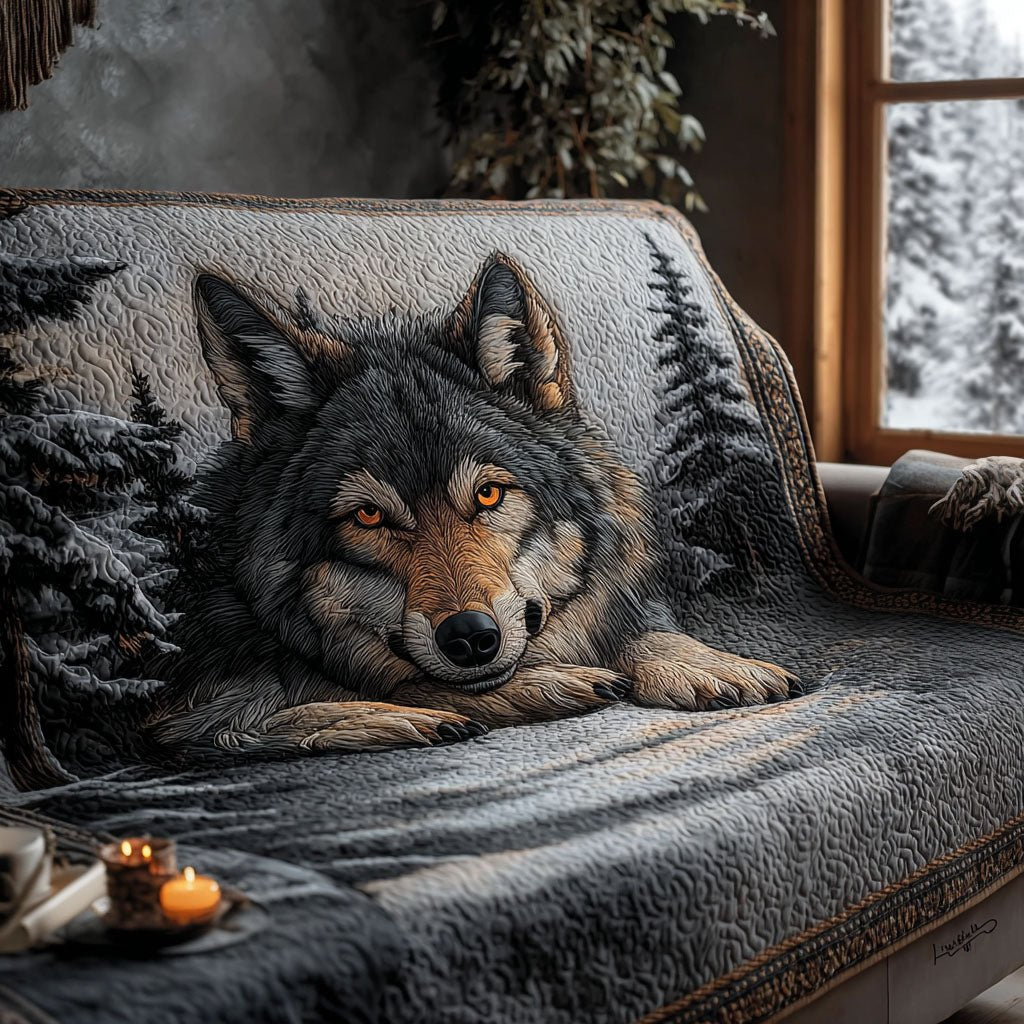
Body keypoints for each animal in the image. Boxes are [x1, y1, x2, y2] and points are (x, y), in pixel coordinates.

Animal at [151, 254, 799, 756]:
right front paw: (545, 686)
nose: (469, 637)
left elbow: (635, 628)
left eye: (488, 494)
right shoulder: (182, 704)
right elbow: (393, 685)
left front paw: (703, 662)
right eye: (369, 515)